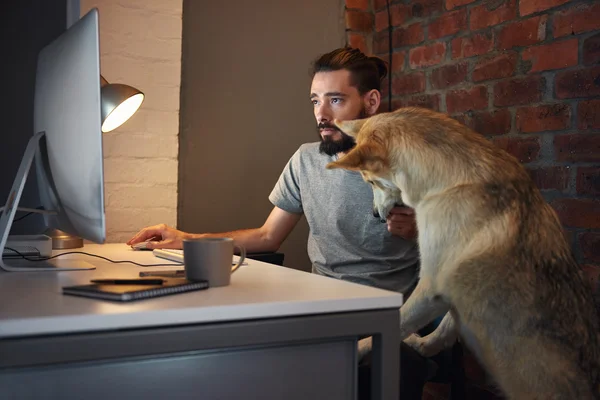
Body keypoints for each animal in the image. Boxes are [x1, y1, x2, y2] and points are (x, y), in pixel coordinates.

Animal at [328, 107, 600, 400]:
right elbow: (445, 328)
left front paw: (359, 349)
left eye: (370, 180)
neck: (448, 182)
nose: (376, 215)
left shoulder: (431, 288)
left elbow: (398, 321)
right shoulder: (449, 294)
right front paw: (423, 345)